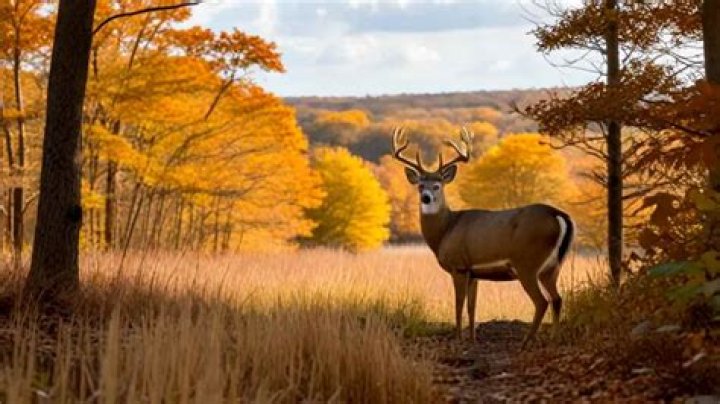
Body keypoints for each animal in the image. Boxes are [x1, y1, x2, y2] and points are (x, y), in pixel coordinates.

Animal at [391, 127, 575, 349]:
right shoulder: (474, 272)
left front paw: (459, 339)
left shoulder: (459, 266)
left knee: (542, 301)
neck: (445, 231)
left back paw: (525, 342)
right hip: (552, 267)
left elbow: (459, 305)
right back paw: (554, 339)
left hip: (527, 263)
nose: (426, 197)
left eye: (437, 185)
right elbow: (472, 307)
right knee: (557, 299)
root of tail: (558, 214)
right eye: (420, 185)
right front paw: (472, 338)